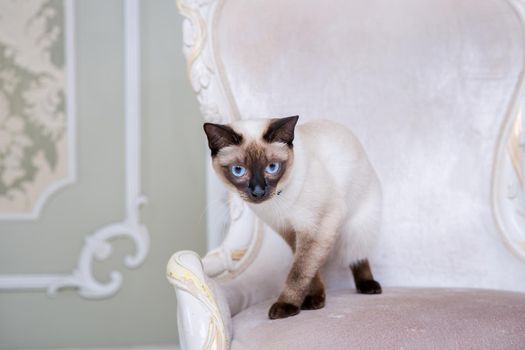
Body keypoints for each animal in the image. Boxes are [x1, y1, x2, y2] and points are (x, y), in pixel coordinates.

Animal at [204, 116, 380, 318]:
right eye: (238, 170)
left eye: (272, 168)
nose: (258, 192)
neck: (277, 202)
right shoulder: (289, 230)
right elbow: (308, 269)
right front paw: (315, 299)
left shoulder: (317, 227)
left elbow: (299, 271)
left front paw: (286, 305)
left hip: (354, 228)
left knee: (357, 254)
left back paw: (368, 286)